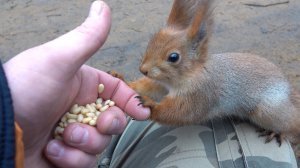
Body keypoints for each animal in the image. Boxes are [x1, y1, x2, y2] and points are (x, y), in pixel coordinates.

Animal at [110, 0, 300, 151]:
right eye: (152, 41)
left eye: (174, 57)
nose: (144, 69)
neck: (188, 75)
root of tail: (290, 93)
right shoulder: (161, 84)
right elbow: (150, 87)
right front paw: (122, 80)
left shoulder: (200, 94)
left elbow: (181, 113)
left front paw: (150, 105)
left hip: (268, 111)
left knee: (293, 125)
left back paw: (278, 132)